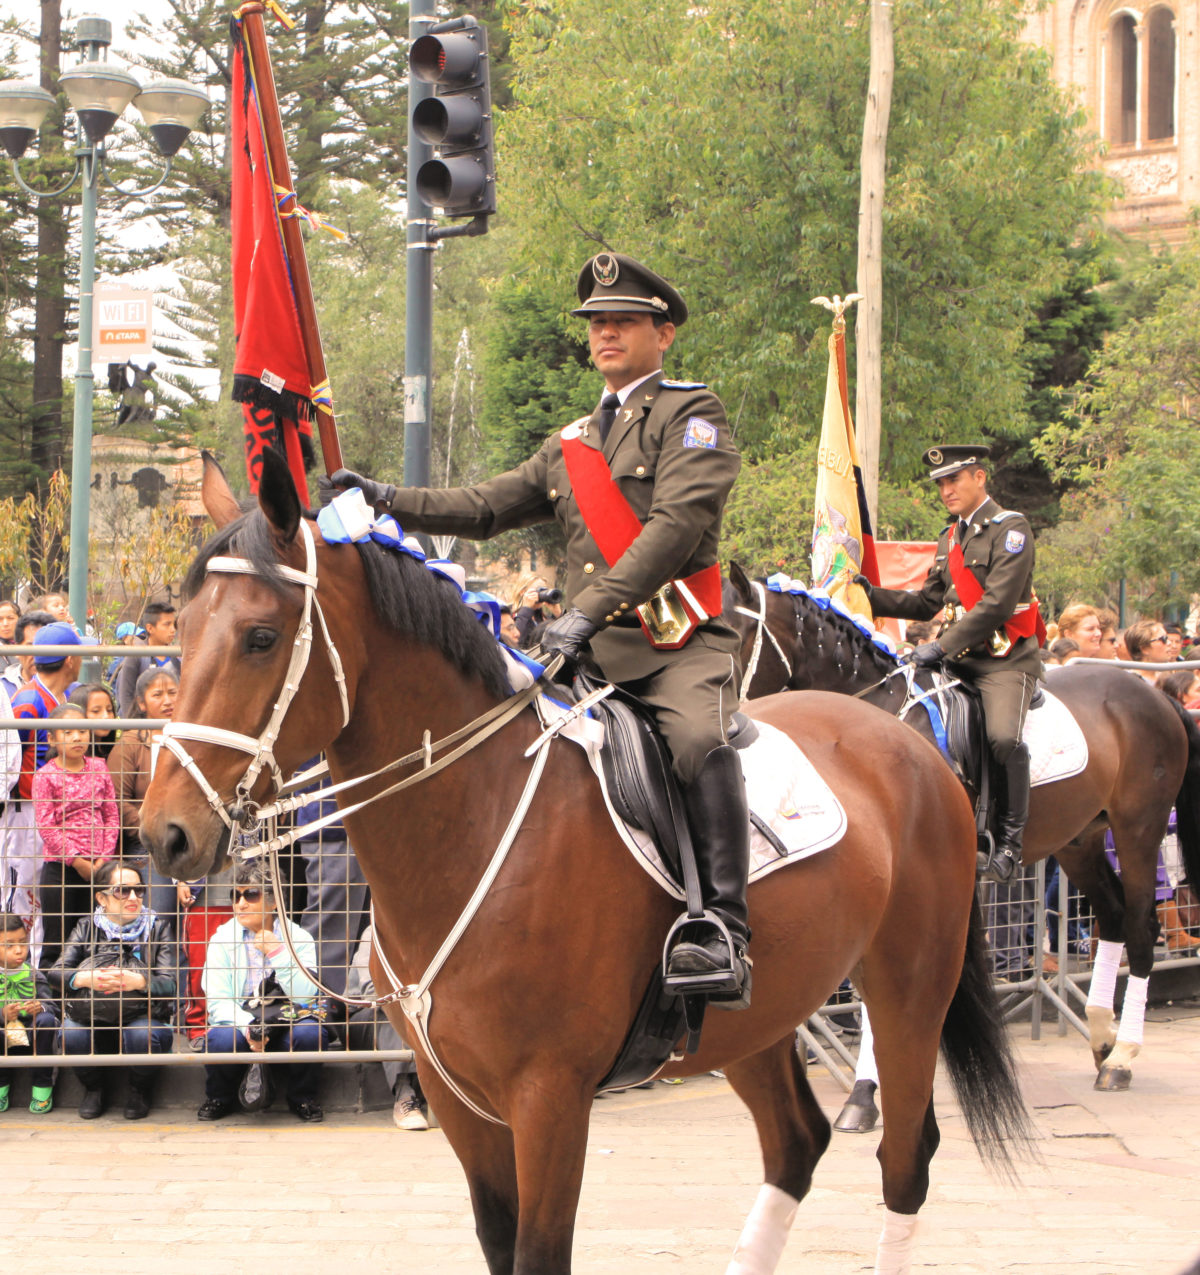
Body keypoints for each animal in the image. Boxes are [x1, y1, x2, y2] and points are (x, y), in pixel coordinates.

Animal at [135, 456, 1025, 1275]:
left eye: (260, 637)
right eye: (182, 629)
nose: (165, 833)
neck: (473, 817)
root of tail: (910, 742)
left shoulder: (549, 1098)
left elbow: (539, 1251)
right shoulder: (462, 1099)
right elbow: (500, 1243)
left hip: (909, 988)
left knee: (905, 1159)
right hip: (760, 1014)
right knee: (795, 1144)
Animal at [719, 568, 1198, 1096]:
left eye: (730, 637)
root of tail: (1155, 696)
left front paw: (871, 1088)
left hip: (1139, 828)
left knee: (1139, 926)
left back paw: (1123, 1056)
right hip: (1082, 839)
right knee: (1112, 916)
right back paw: (1101, 1041)